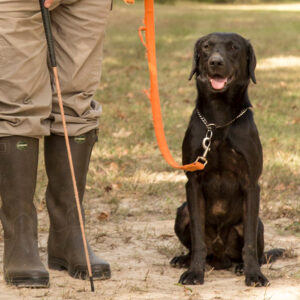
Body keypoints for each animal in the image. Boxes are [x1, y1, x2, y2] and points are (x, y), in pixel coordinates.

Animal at [171, 32, 284, 286]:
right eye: (206, 47)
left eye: (233, 48)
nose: (215, 62)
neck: (219, 119)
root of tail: (221, 258)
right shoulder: (193, 183)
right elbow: (198, 239)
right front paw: (195, 272)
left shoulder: (251, 184)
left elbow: (249, 244)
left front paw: (254, 275)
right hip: (182, 212)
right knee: (196, 245)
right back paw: (184, 259)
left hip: (258, 223)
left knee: (256, 251)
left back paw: (242, 266)